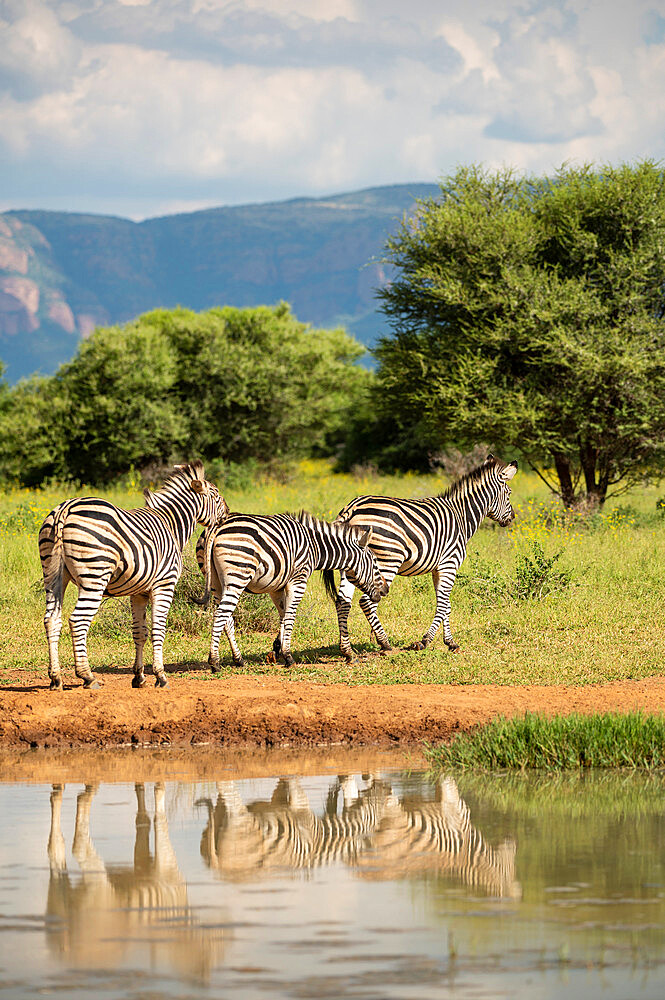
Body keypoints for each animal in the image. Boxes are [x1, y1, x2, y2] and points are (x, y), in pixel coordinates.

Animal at [40, 458, 231, 688]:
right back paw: (87, 676)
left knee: (51, 619)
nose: (228, 513)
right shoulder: (164, 584)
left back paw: (56, 678)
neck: (172, 525)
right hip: (94, 576)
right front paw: (160, 676)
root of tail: (66, 508)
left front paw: (139, 677)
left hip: (53, 575)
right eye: (216, 494)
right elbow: (158, 629)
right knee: (78, 621)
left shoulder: (138, 591)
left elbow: (139, 632)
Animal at [193, 512, 390, 668]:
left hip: (216, 582)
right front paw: (288, 656)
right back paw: (215, 662)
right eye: (375, 564)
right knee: (221, 615)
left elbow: (282, 615)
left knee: (227, 619)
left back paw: (238, 660)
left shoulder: (277, 586)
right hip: (238, 575)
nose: (386, 590)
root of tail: (216, 526)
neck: (315, 547)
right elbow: (290, 616)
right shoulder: (298, 580)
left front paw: (277, 650)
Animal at [324, 452, 516, 656]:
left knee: (342, 602)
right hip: (386, 561)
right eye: (509, 493)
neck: (462, 516)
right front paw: (425, 641)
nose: (512, 518)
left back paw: (347, 650)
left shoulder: (438, 568)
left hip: (353, 563)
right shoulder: (450, 564)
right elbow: (442, 605)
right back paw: (384, 643)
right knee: (367, 602)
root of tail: (351, 509)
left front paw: (450, 642)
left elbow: (446, 605)